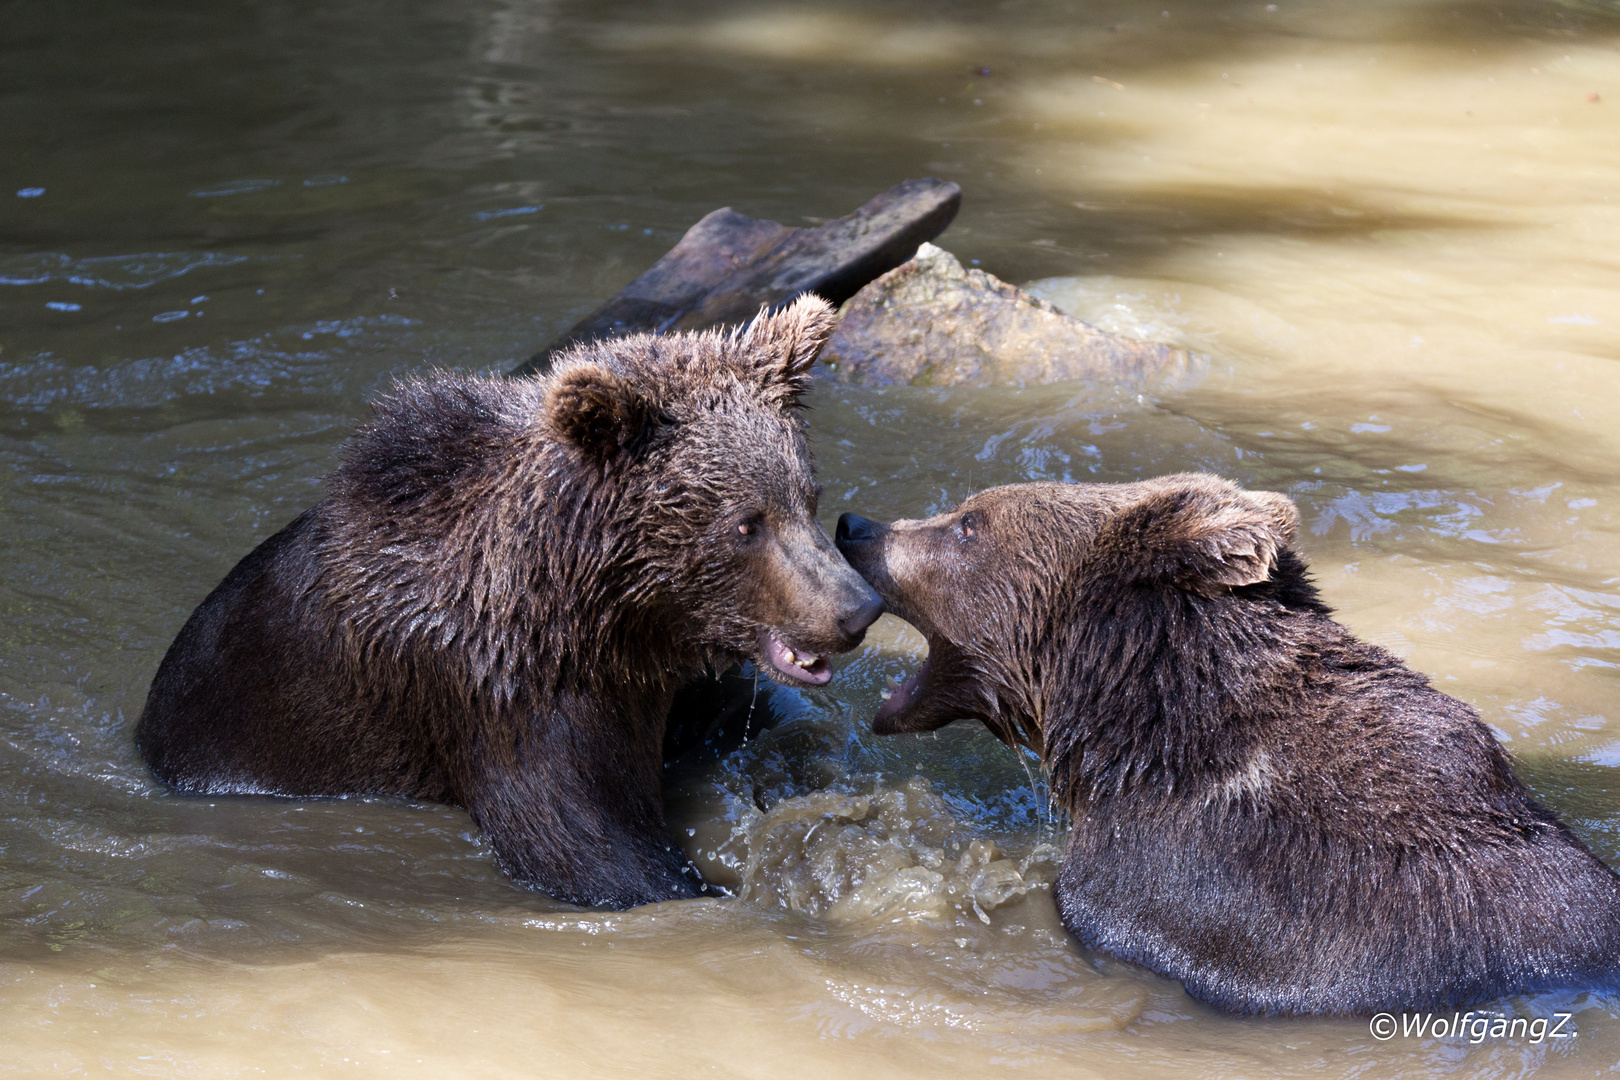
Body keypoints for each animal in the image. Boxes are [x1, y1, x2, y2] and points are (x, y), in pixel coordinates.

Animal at [136, 296, 887, 913]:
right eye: (745, 523)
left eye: (807, 496)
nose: (857, 608)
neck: (600, 612)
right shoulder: (509, 698)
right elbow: (593, 855)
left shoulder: (659, 679)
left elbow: (754, 714)